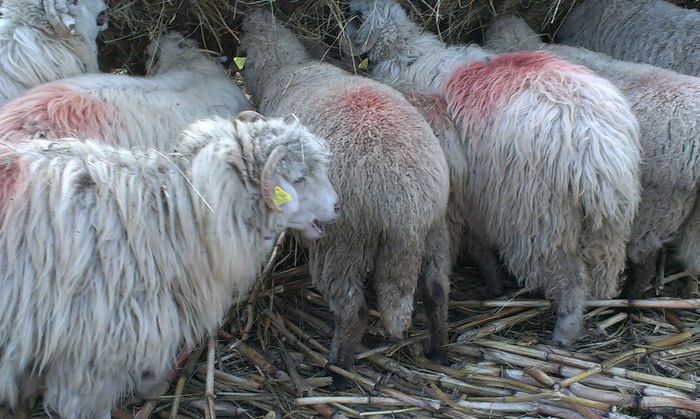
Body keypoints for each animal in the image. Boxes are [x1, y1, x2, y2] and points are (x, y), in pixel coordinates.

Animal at [240, 9, 451, 389]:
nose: (253, 13)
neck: (288, 68)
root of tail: (404, 206)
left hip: (342, 243)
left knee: (353, 311)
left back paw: (337, 371)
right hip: (434, 227)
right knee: (437, 289)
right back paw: (438, 350)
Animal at [345, 0, 643, 346]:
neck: (407, 54)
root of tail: (595, 148)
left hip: (541, 222)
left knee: (571, 281)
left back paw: (562, 335)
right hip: (609, 226)